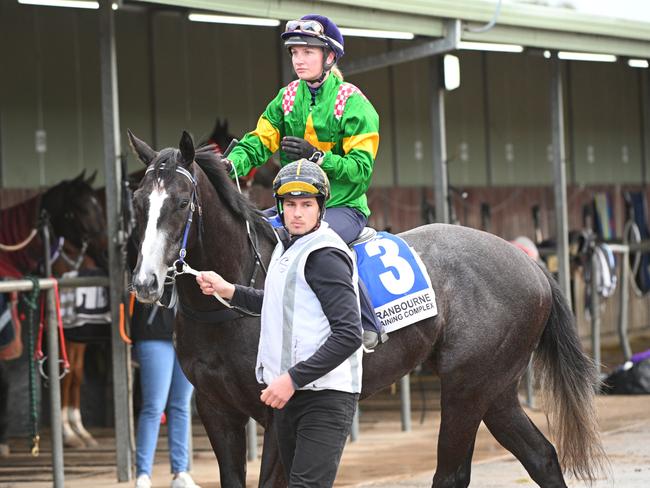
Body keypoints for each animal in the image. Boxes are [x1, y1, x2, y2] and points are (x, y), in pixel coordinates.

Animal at [128, 130, 608, 488]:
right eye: (138, 201)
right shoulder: (216, 410)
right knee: (541, 456)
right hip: (496, 387)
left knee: (453, 472)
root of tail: (529, 264)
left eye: (182, 203)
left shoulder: (279, 411)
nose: (145, 282)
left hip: (467, 386)